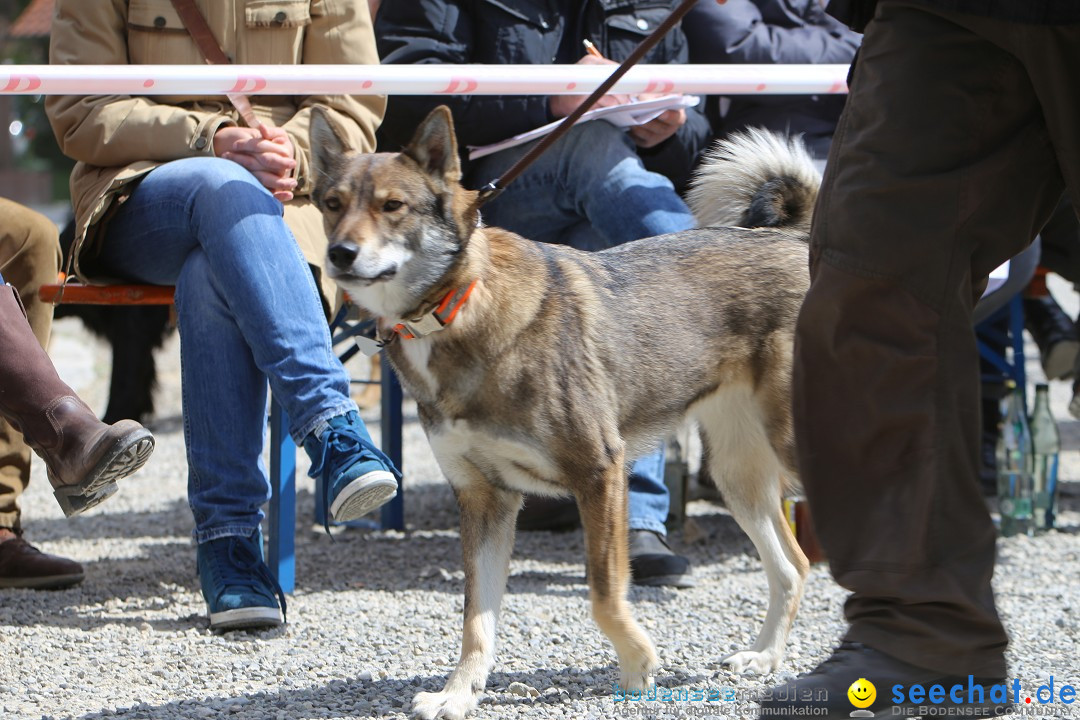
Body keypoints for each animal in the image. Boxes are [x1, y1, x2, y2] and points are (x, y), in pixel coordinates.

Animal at [311, 106, 816, 720]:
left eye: (392, 205)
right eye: (332, 203)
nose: (339, 254)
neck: (457, 308)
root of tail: (794, 239)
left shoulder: (600, 473)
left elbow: (603, 592)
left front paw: (639, 662)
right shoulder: (485, 500)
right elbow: (476, 620)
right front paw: (460, 693)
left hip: (794, 450)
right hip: (736, 474)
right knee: (794, 566)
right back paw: (764, 657)